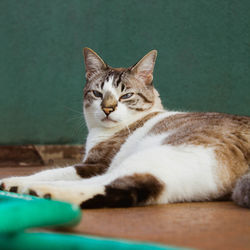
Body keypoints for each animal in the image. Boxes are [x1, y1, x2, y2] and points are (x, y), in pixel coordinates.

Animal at [0, 48, 250, 209]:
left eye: (126, 95)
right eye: (97, 93)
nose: (108, 108)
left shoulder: (95, 164)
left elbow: (50, 171)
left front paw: (17, 180)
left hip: (162, 153)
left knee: (112, 183)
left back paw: (32, 189)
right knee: (134, 190)